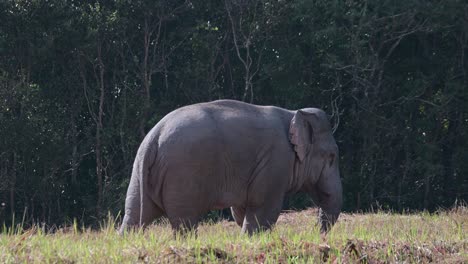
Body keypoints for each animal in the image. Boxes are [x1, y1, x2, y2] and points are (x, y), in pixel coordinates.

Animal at [119, 99, 342, 235]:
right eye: (331, 156)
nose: (317, 233)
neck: (294, 114)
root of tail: (154, 137)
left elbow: (242, 211)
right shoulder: (276, 162)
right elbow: (262, 210)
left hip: (139, 173)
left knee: (134, 217)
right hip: (182, 176)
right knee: (185, 223)